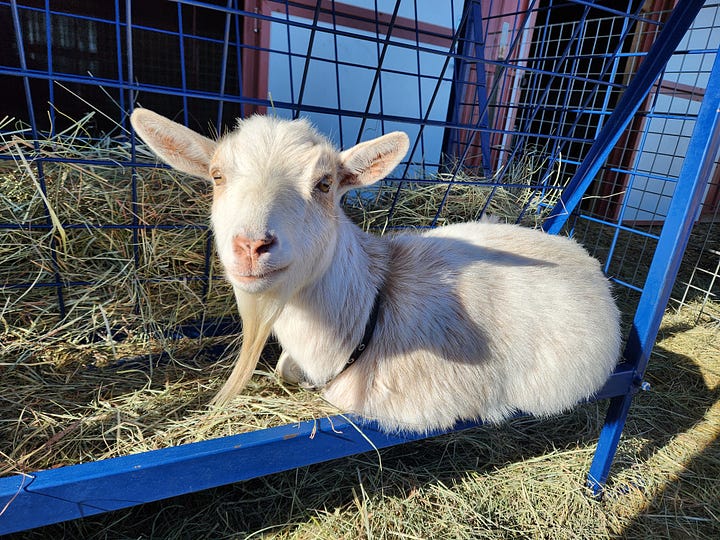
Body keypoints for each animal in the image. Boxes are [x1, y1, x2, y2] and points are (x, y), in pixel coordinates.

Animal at [128, 107, 620, 432]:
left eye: (324, 183)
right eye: (216, 176)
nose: (251, 245)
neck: (369, 303)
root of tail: (580, 254)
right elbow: (284, 368)